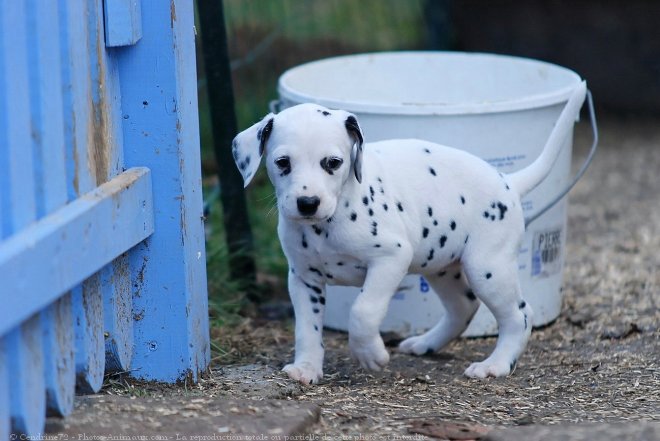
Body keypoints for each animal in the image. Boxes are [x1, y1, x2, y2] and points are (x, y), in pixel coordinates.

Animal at [233, 81, 588, 384]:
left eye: (332, 162)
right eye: (282, 162)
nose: (308, 203)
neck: (328, 224)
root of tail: (508, 181)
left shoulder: (391, 257)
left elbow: (363, 310)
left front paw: (370, 354)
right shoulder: (303, 278)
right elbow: (306, 328)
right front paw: (306, 367)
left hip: (488, 267)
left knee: (519, 315)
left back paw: (496, 364)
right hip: (443, 268)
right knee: (463, 307)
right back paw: (426, 344)